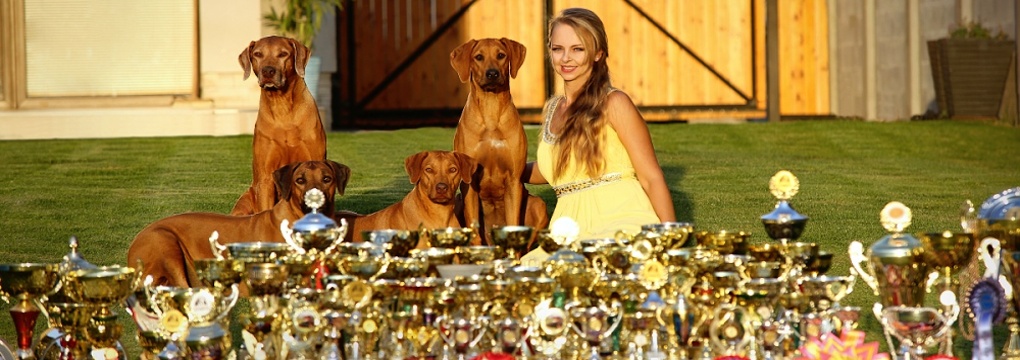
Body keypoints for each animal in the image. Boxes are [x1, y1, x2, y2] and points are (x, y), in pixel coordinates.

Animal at [231, 36, 326, 214]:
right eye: (258, 54)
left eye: (283, 54)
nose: (268, 71)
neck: (282, 107)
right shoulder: (265, 178)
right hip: (245, 201)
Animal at [452, 37, 550, 240]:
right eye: (478, 57)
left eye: (501, 55)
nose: (492, 73)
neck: (491, 107)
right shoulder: (469, 183)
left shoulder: (514, 180)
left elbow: (514, 223)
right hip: (457, 201)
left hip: (538, 205)